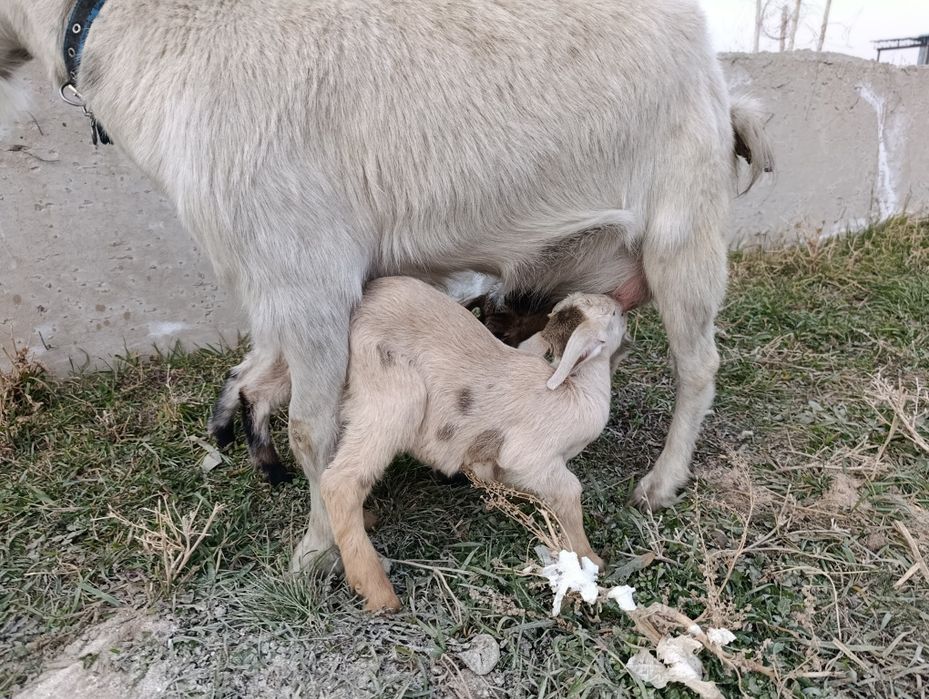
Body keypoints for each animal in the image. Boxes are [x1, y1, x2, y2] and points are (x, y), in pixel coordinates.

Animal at [1, 0, 773, 574]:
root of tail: (721, 84)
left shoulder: (305, 271)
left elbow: (313, 429)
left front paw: (318, 549)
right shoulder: (277, 276)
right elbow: (271, 374)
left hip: (683, 224)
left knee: (698, 364)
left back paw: (661, 482)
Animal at [321, 276, 626, 610]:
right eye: (612, 315)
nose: (622, 306)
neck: (575, 389)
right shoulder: (532, 456)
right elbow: (570, 493)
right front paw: (590, 558)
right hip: (392, 400)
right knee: (340, 483)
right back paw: (378, 592)